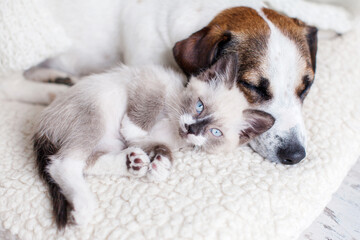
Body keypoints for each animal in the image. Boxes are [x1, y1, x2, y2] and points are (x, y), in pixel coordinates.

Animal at [2, 0, 352, 163]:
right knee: (11, 82)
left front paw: (337, 24)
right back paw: (51, 87)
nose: (295, 156)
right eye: (252, 87)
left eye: (306, 87)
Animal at [34, 53, 276, 230]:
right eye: (199, 106)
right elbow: (151, 102)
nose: (191, 129)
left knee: (86, 163)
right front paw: (133, 128)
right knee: (62, 164)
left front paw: (161, 166)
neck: (172, 123)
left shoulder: (159, 140)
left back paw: (133, 163)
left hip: (109, 142)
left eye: (215, 132)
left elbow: (163, 148)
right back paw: (84, 208)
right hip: (94, 117)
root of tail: (42, 125)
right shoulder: (151, 78)